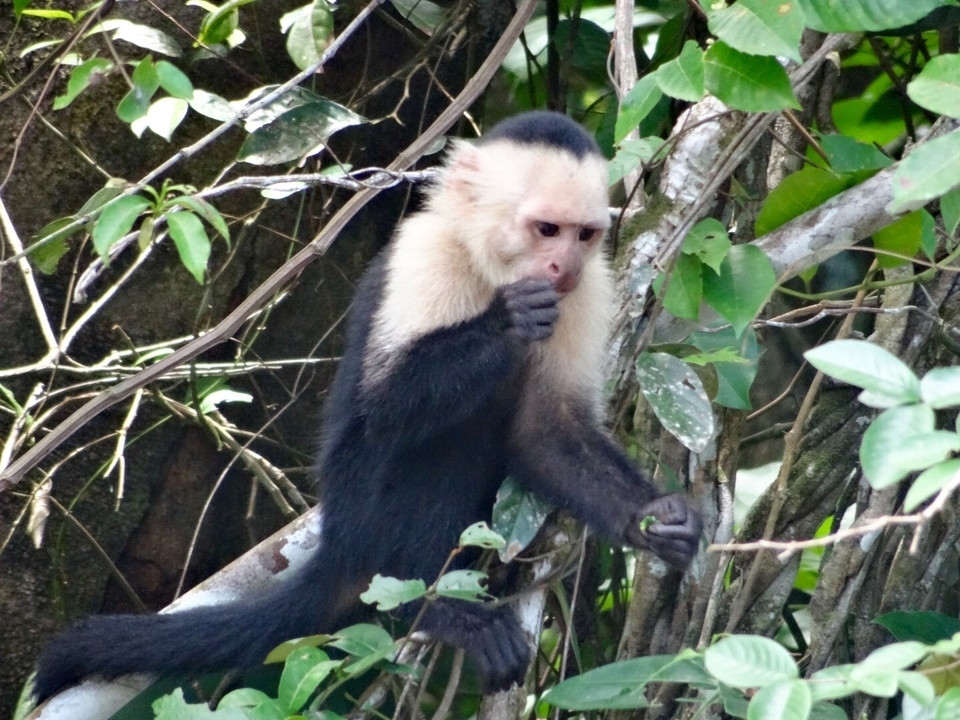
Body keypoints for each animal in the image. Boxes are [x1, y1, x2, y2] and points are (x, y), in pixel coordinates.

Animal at [32, 111, 702, 702]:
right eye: (545, 229)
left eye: (584, 235)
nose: (562, 266)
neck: (490, 266)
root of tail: (340, 544)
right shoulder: (428, 253)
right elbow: (383, 406)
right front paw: (506, 322)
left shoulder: (588, 291)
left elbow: (549, 431)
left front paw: (655, 516)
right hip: (365, 517)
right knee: (434, 442)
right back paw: (437, 606)